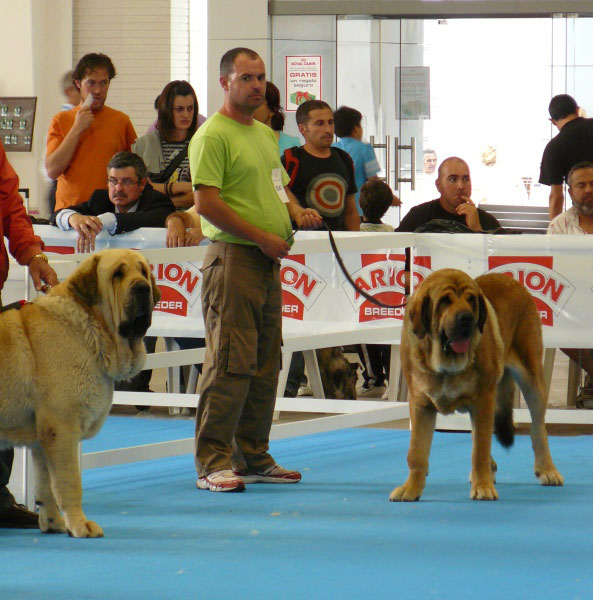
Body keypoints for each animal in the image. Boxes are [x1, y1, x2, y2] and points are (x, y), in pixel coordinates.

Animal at [0, 248, 160, 540]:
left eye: (143, 271)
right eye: (118, 274)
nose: (143, 288)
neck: (91, 330)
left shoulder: (42, 438)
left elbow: (46, 485)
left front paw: (53, 523)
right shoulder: (62, 429)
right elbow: (69, 482)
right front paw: (80, 525)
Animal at [390, 268, 560, 502]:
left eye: (471, 300)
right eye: (444, 301)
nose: (467, 319)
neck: (445, 363)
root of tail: (511, 280)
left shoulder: (483, 400)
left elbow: (479, 450)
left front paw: (483, 486)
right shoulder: (421, 405)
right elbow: (416, 452)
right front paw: (411, 488)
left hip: (532, 379)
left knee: (538, 428)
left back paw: (547, 469)